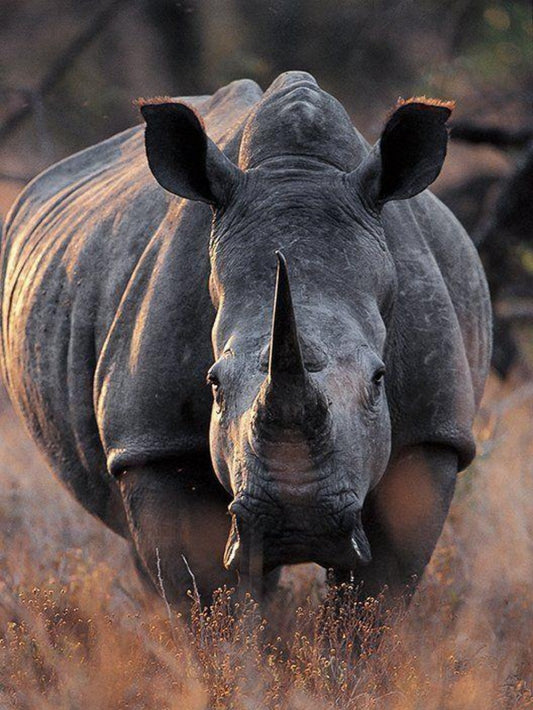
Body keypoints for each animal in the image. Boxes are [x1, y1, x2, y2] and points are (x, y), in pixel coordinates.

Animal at [0, 71, 491, 605]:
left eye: (379, 379)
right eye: (213, 383)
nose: (298, 527)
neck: (297, 170)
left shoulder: (430, 434)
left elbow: (374, 598)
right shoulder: (154, 443)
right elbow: (210, 599)